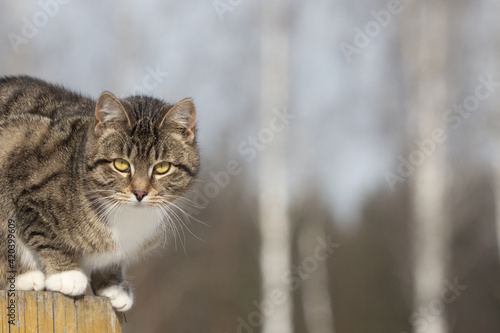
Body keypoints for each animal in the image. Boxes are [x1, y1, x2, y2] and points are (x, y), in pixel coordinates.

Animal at [0, 76, 199, 312]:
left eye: (162, 167)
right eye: (121, 164)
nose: (140, 192)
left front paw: (112, 285)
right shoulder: (22, 158)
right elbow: (44, 234)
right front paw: (66, 274)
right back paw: (25, 277)